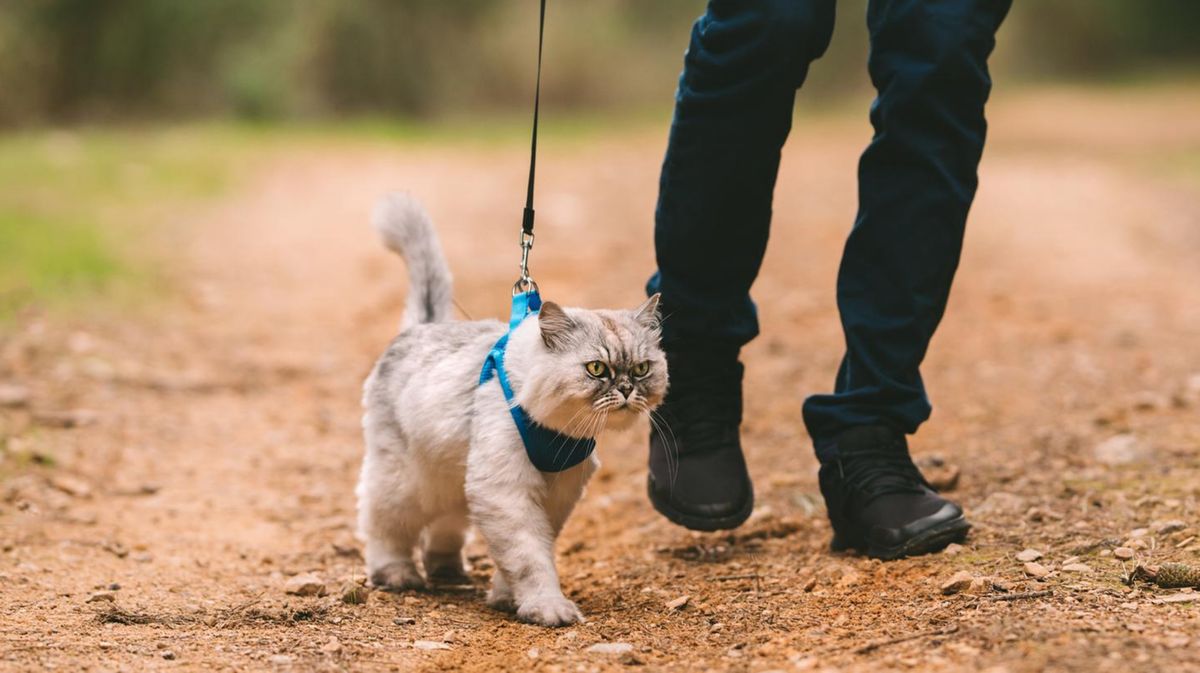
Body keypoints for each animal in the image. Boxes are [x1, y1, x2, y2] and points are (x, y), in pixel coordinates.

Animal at [360, 193, 672, 623]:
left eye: (641, 369)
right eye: (597, 369)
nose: (626, 390)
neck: (558, 431)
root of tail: (422, 326)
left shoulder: (556, 491)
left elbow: (525, 552)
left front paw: (508, 597)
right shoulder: (507, 490)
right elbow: (529, 557)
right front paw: (546, 606)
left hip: (451, 478)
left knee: (445, 527)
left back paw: (447, 570)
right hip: (407, 482)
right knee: (383, 526)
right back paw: (397, 573)